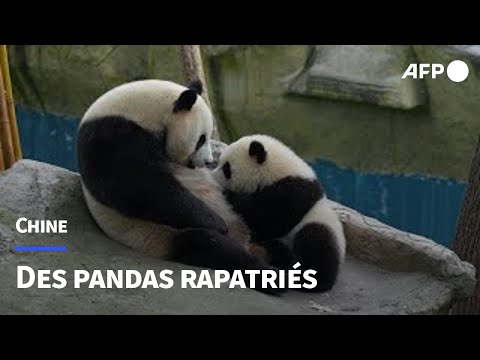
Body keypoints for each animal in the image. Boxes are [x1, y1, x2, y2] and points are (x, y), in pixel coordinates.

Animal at [77, 80, 284, 294]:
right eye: (201, 139)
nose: (207, 162)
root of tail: (248, 245)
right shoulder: (112, 135)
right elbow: (140, 187)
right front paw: (216, 222)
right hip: (160, 236)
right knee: (209, 246)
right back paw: (271, 276)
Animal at [213, 134, 344, 292]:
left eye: (226, 168)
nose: (213, 176)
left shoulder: (294, 192)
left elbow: (271, 219)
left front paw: (230, 195)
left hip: (322, 227)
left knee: (315, 241)